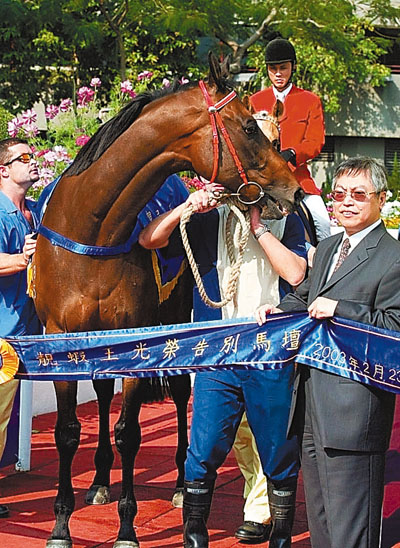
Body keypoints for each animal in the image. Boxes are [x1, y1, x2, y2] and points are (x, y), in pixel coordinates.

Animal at [33, 52, 300, 548]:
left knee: (178, 393)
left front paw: (126, 528)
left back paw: (178, 486)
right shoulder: (59, 339)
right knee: (102, 393)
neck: (92, 230)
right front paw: (61, 525)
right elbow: (67, 431)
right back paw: (99, 481)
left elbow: (129, 432)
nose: (291, 189)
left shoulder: (138, 335)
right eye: (247, 128)